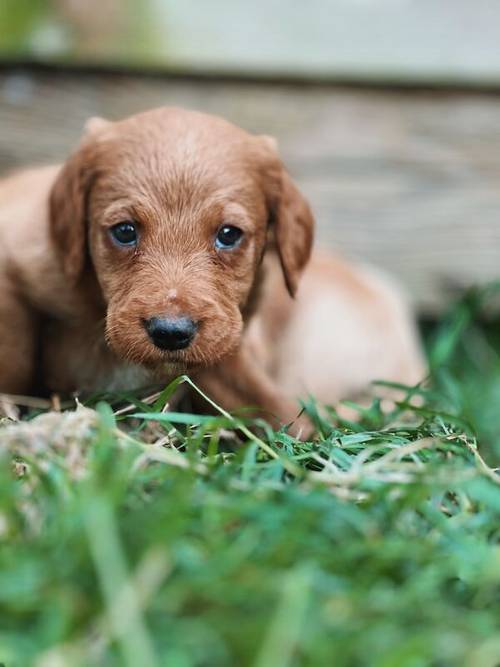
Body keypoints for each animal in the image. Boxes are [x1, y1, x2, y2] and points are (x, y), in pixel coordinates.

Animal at [0, 108, 426, 434]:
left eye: (228, 235)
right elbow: (14, 354)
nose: (171, 333)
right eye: (124, 231)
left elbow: (272, 407)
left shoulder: (228, 344)